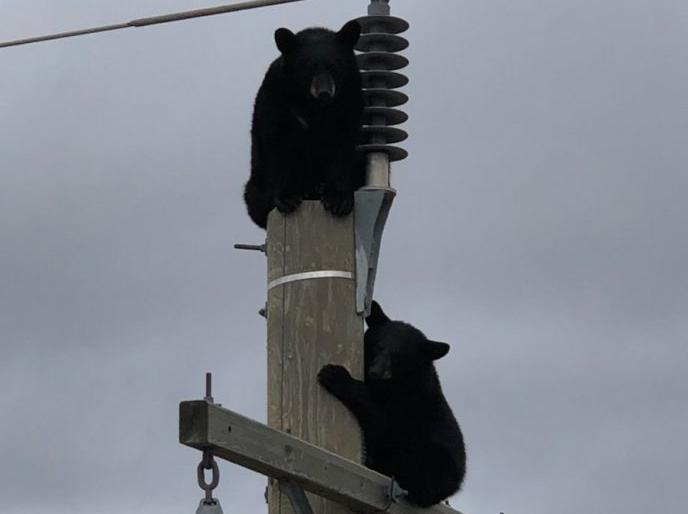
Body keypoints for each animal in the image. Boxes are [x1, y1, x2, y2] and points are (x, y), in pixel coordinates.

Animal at [243, 20, 366, 229]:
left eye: (334, 65)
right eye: (309, 67)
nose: (324, 93)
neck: (314, 106)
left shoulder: (350, 97)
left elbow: (345, 145)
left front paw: (338, 199)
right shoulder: (276, 96)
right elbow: (277, 143)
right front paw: (287, 198)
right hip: (257, 181)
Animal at [318, 301, 466, 507]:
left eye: (399, 356)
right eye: (378, 346)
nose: (375, 372)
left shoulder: (409, 406)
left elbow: (383, 423)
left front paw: (335, 375)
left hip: (432, 462)